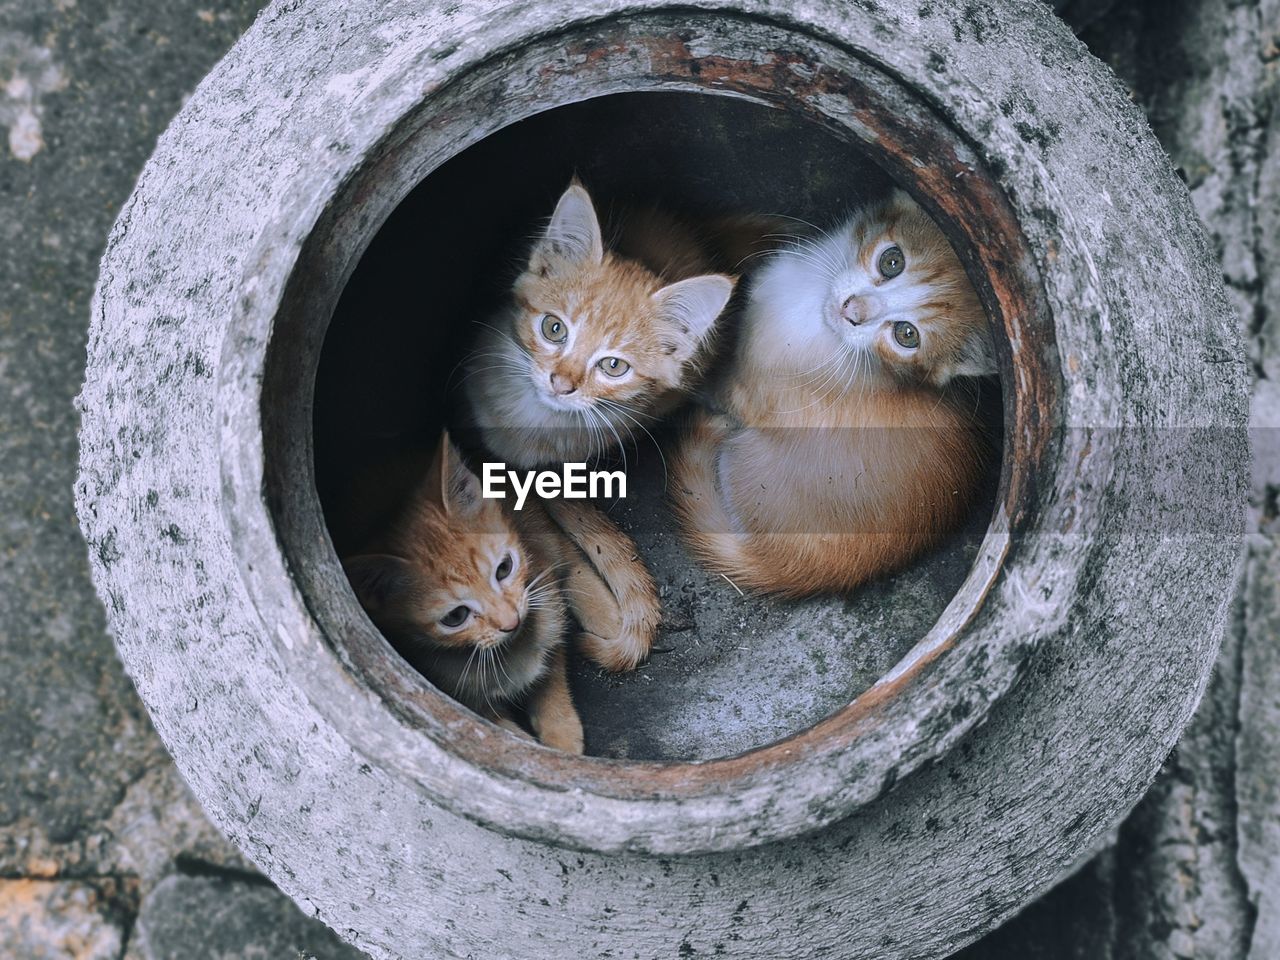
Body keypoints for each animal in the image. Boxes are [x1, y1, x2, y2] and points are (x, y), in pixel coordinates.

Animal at [340, 432, 660, 757]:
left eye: (504, 568)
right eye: (456, 616)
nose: (511, 621)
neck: (511, 650)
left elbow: (551, 677)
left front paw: (562, 736)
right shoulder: (467, 704)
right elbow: (504, 736)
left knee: (569, 559)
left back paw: (610, 618)